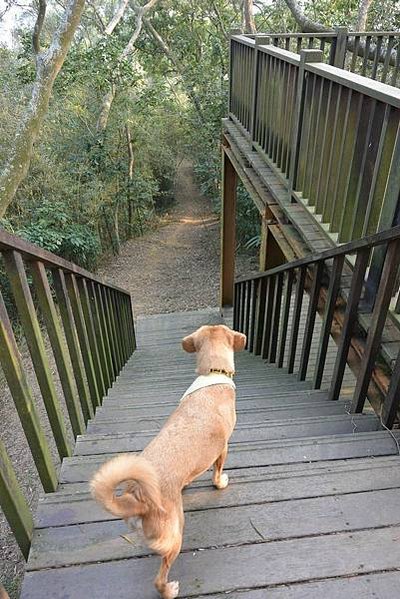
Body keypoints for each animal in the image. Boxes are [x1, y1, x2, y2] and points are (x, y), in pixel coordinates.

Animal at [90, 328, 245, 599]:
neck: (212, 374)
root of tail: (137, 495)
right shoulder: (223, 448)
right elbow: (217, 472)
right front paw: (220, 482)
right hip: (174, 535)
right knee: (160, 574)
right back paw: (169, 590)